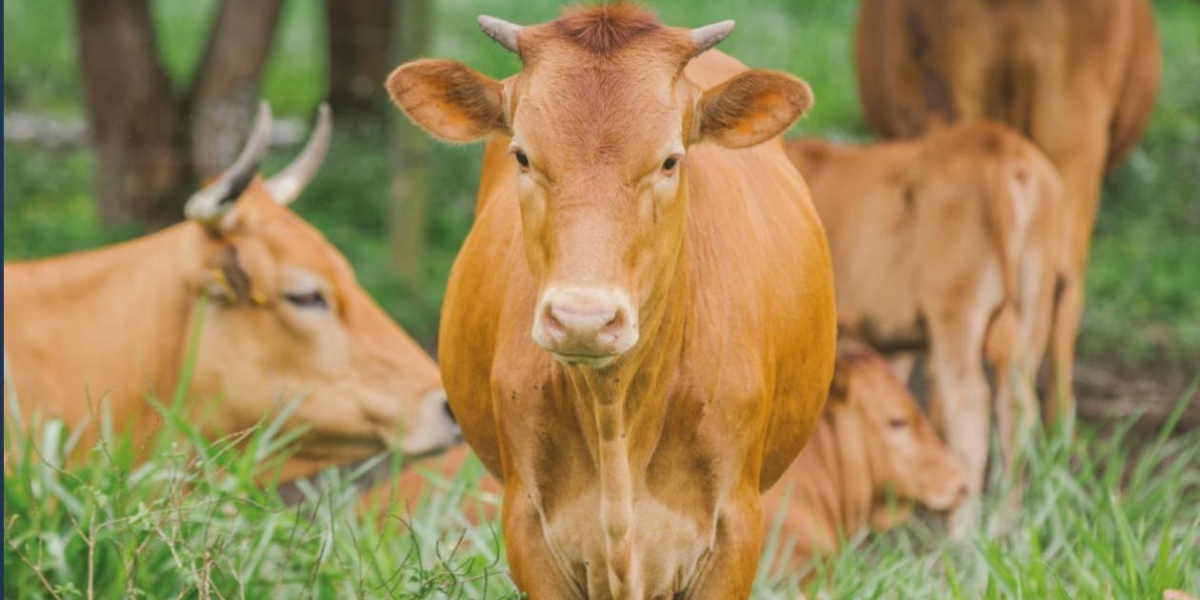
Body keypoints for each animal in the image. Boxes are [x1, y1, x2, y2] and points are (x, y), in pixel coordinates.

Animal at [384, 5, 835, 600]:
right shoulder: (527, 525)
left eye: (670, 161)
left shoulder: (737, 526)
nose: (583, 320)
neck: (615, 410)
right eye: (522, 155)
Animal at [787, 123, 1070, 530]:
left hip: (956, 315)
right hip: (1033, 310)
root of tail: (999, 142)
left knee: (971, 406)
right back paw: (1006, 525)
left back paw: (962, 534)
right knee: (1017, 407)